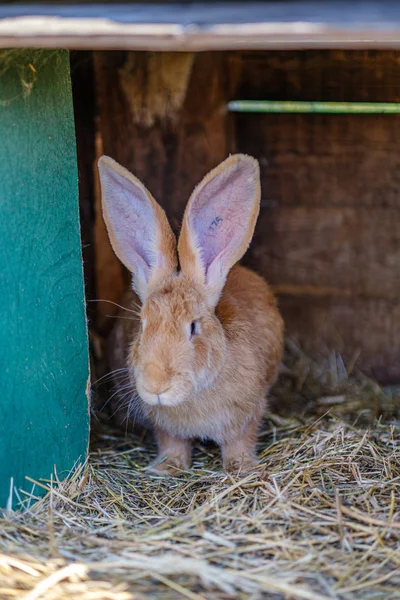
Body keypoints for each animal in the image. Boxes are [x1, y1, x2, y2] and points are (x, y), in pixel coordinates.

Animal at [98, 156, 282, 478]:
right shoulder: (164, 426)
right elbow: (173, 443)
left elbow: (239, 442)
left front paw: (241, 468)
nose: (156, 384)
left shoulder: (249, 413)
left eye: (193, 327)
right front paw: (166, 468)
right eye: (142, 325)